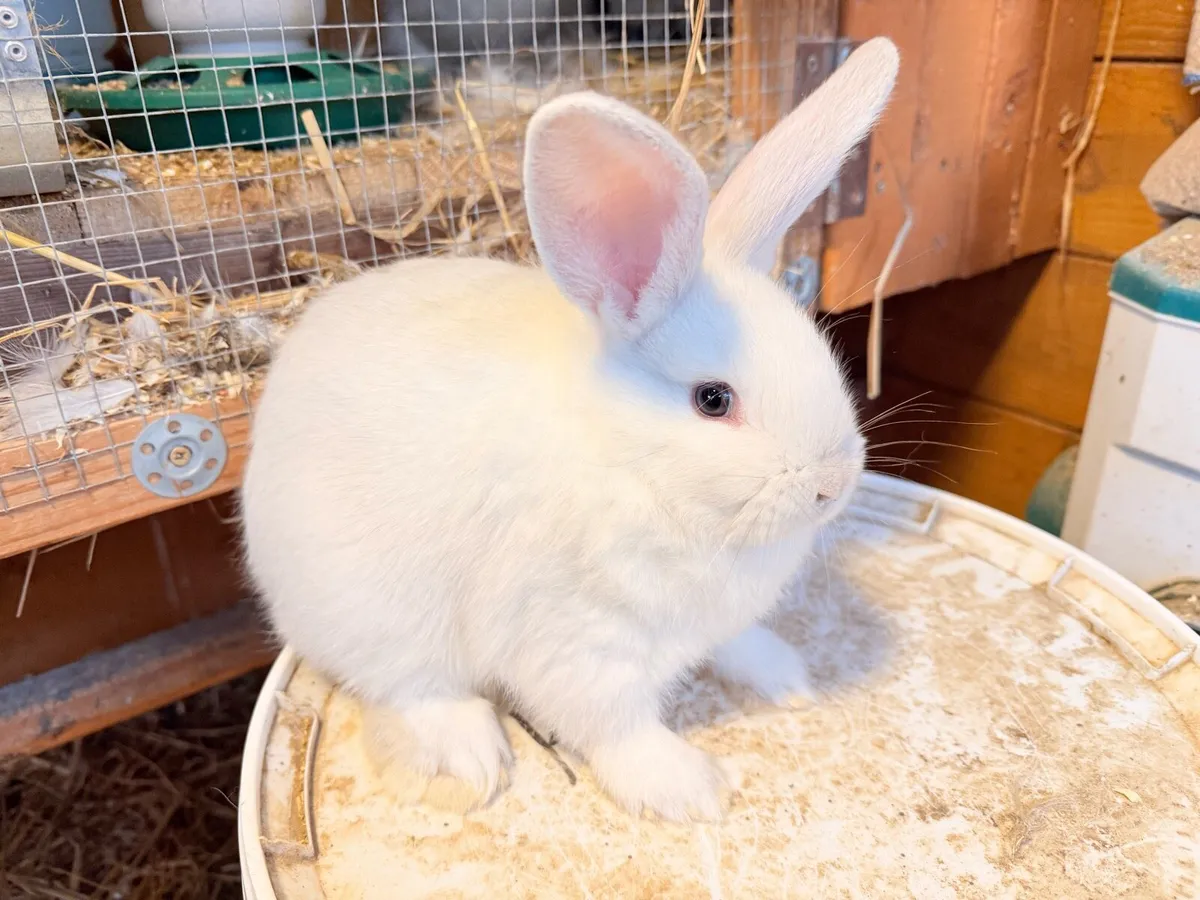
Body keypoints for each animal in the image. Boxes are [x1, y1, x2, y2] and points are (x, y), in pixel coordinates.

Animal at [241, 37, 898, 822]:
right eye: (713, 400)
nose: (833, 484)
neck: (632, 464)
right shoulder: (575, 642)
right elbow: (614, 726)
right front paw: (692, 789)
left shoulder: (709, 621)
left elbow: (737, 643)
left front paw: (787, 677)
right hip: (376, 615)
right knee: (409, 686)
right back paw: (470, 756)